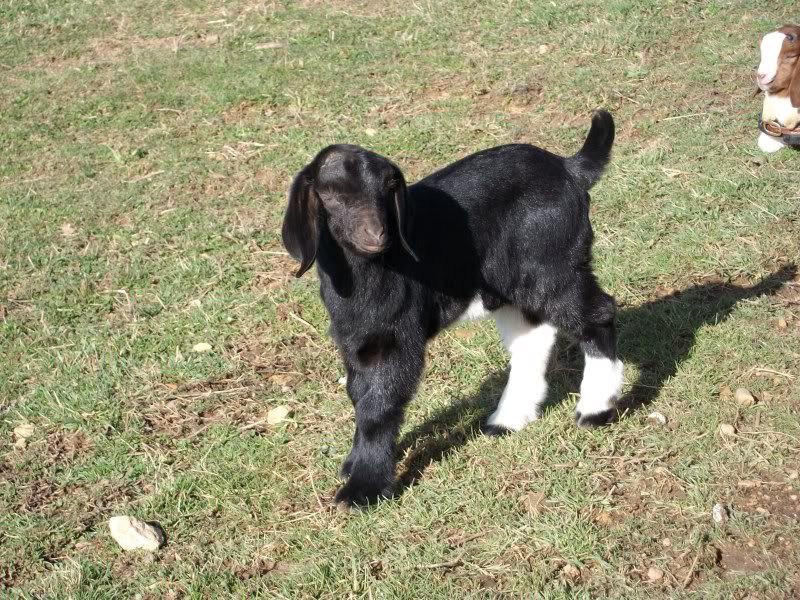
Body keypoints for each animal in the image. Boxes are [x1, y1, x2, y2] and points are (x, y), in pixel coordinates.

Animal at [282, 111, 621, 507]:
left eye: (387, 188)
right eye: (331, 194)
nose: (377, 235)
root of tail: (569, 169)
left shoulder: (395, 336)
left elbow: (379, 404)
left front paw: (363, 488)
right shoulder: (354, 339)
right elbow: (359, 393)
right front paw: (354, 465)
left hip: (553, 264)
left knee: (597, 314)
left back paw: (595, 409)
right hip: (513, 283)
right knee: (532, 338)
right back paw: (508, 418)